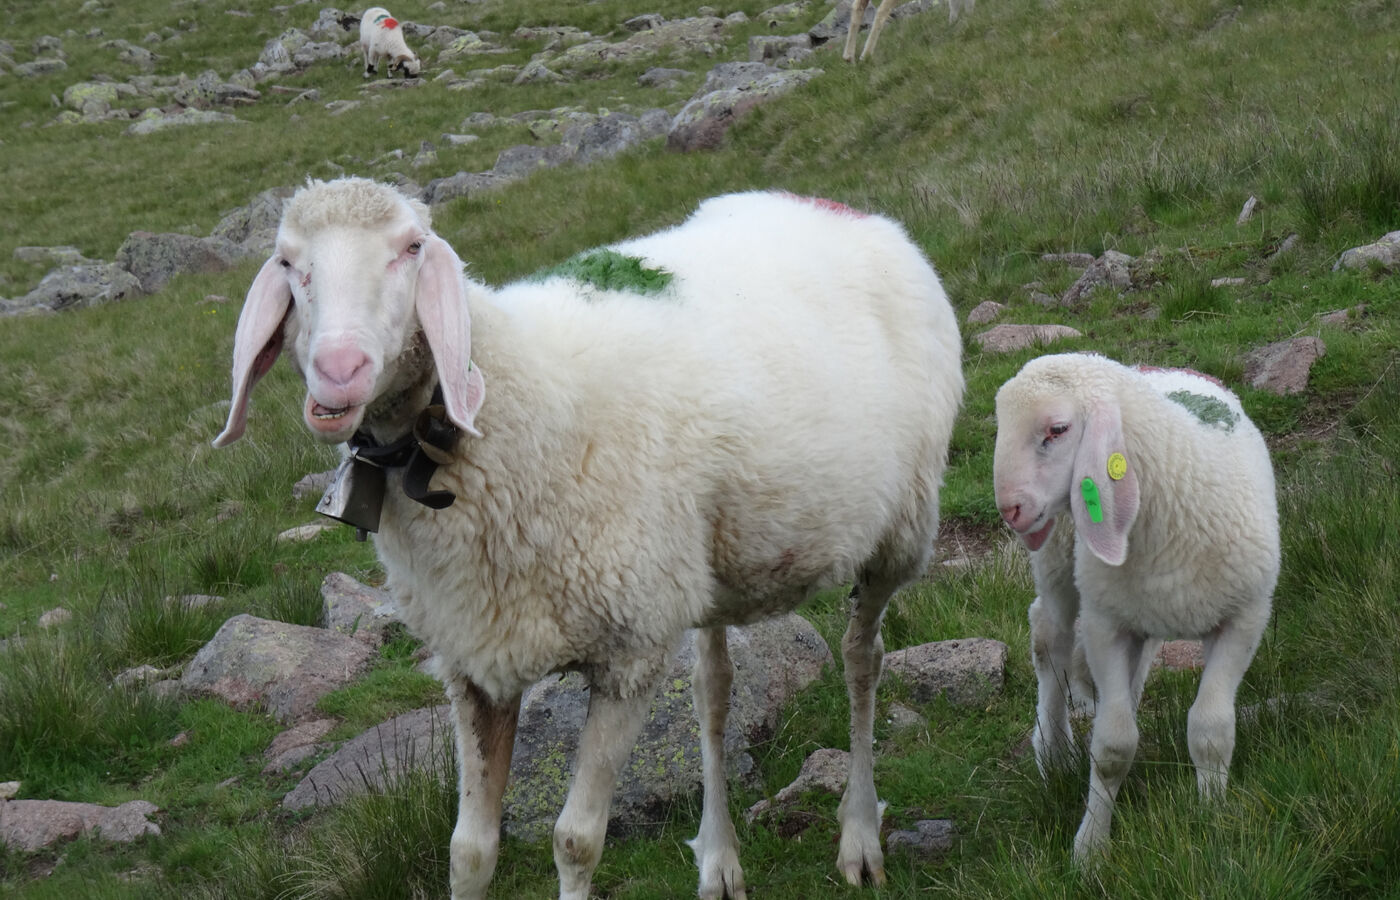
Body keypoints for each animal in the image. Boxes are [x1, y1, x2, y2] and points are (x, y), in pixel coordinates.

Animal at [212, 177, 968, 900]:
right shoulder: (474, 659)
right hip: (706, 566)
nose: (339, 371)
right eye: (288, 263)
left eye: (411, 247)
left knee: (862, 658)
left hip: (899, 533)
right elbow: (469, 851)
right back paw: (719, 860)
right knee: (715, 688)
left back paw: (860, 837)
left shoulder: (627, 653)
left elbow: (575, 841)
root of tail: (848, 211)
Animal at [840, 0, 974, 63]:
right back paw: (865, 56)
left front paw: (956, 21)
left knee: (857, 6)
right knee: (881, 10)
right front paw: (968, 18)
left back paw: (849, 57)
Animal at [996, 352, 1282, 856]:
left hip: (1137, 606)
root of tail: (1150, 367)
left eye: (1057, 429)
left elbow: (1211, 729)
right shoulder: (1105, 625)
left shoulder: (1244, 618)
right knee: (1048, 636)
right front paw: (1091, 848)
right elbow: (1112, 747)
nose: (1008, 509)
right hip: (1059, 564)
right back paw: (1052, 749)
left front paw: (1213, 819)